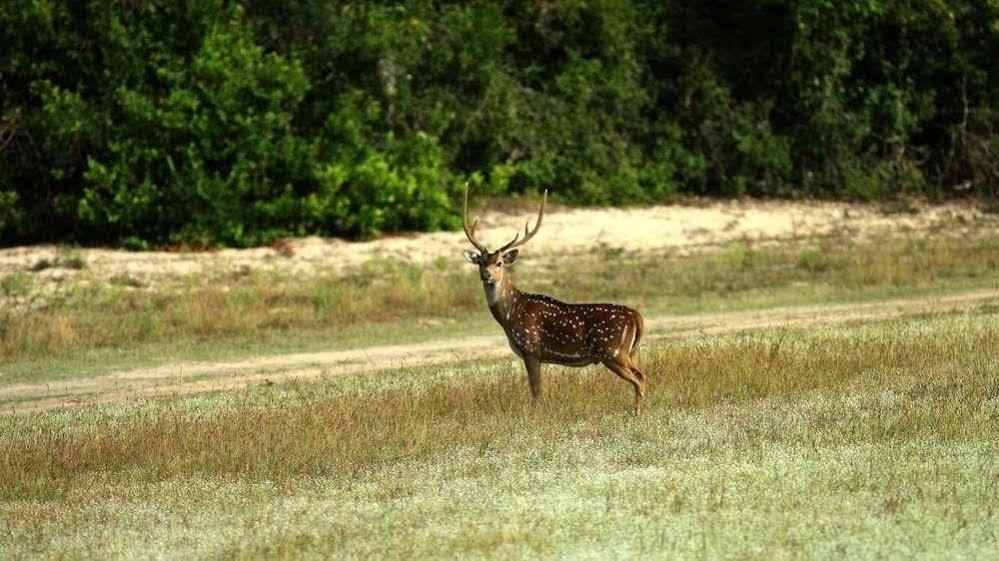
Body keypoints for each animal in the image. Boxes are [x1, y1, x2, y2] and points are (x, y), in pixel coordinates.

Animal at [460, 186, 648, 414]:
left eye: (499, 263)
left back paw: (637, 414)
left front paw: (535, 416)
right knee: (642, 374)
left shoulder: (531, 348)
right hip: (630, 351)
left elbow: (536, 391)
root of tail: (636, 315)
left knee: (640, 378)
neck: (510, 313)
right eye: (481, 263)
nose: (486, 275)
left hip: (612, 351)